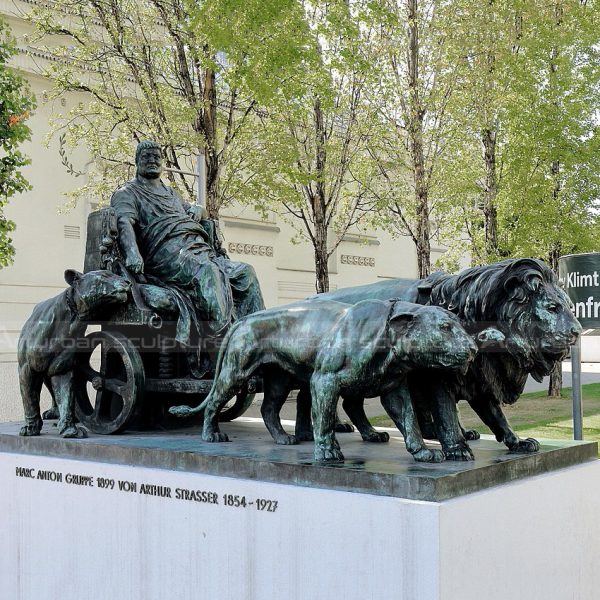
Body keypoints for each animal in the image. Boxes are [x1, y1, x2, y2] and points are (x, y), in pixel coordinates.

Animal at [324, 258, 580, 460]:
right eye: (552, 307)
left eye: (569, 306)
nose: (577, 331)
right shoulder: (438, 378)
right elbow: (445, 412)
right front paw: (456, 448)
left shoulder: (480, 378)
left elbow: (496, 416)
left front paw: (517, 442)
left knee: (351, 404)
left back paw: (371, 433)